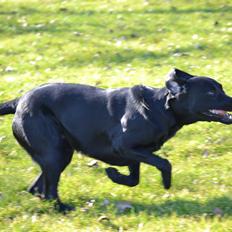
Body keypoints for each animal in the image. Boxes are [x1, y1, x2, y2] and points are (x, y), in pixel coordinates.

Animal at [0, 68, 232, 211]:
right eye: (211, 92)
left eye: (221, 87)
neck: (161, 107)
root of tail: (19, 102)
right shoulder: (125, 146)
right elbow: (164, 163)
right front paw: (166, 183)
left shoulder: (134, 154)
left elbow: (133, 179)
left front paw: (114, 175)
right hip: (56, 153)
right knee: (48, 191)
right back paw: (64, 209)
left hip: (59, 154)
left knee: (38, 188)